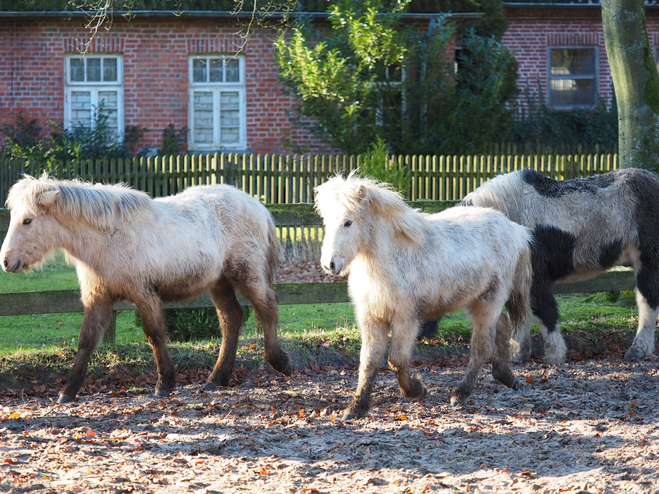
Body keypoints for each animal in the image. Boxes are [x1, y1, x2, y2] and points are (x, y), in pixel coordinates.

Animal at [0, 174, 292, 402]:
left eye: (28, 220)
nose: (6, 261)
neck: (109, 236)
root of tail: (257, 205)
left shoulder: (144, 294)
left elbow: (155, 335)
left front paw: (165, 384)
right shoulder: (98, 297)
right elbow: (86, 340)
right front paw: (68, 391)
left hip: (246, 274)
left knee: (267, 307)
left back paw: (280, 362)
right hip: (219, 282)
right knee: (231, 320)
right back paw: (216, 378)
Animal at [316, 172, 536, 418]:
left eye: (348, 222)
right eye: (326, 222)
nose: (329, 265)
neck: (391, 258)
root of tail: (516, 230)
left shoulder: (406, 320)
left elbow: (396, 360)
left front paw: (416, 389)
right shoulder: (372, 318)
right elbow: (369, 362)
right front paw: (356, 407)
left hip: (488, 303)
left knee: (482, 347)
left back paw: (460, 394)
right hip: (480, 301)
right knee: (502, 328)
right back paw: (506, 377)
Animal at [454, 168, 659, 364]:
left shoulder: (536, 277)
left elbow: (543, 311)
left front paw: (554, 356)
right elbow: (519, 315)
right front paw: (518, 355)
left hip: (648, 262)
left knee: (647, 302)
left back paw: (638, 350)